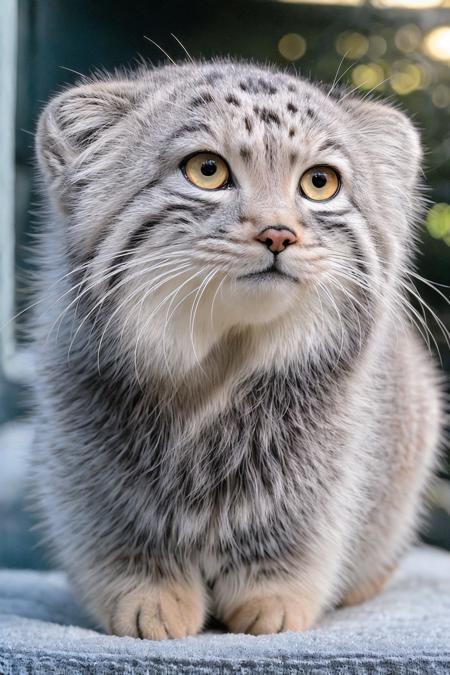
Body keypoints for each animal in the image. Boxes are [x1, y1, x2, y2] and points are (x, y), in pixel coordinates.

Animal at [32, 59, 442, 640]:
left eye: (320, 182)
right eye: (207, 170)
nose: (278, 235)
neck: (218, 363)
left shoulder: (320, 470)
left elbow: (292, 539)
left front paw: (272, 597)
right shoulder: (85, 461)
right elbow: (123, 541)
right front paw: (149, 595)